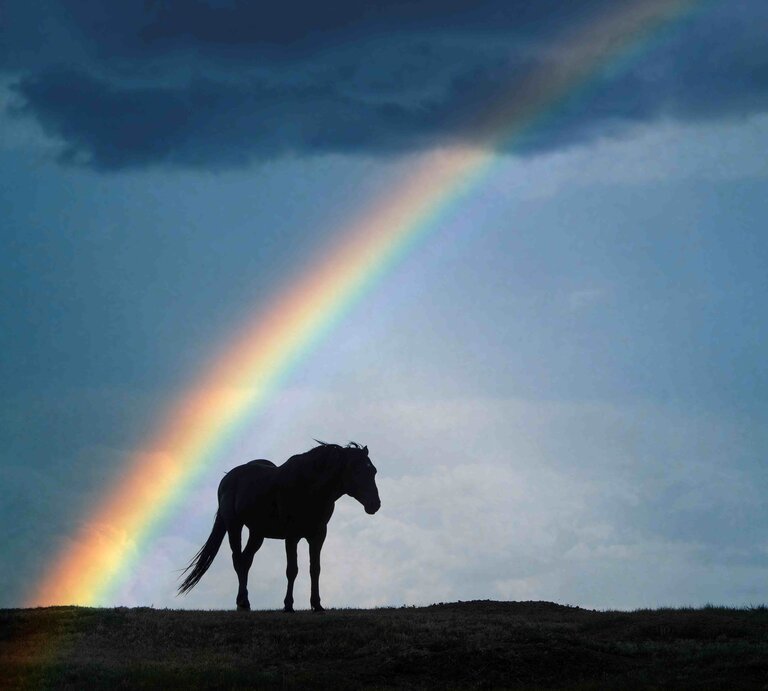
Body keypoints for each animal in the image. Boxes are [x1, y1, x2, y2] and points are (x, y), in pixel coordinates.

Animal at [177, 441, 380, 611]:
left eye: (373, 471)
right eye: (356, 470)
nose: (375, 504)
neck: (309, 487)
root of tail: (228, 478)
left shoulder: (318, 535)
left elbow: (315, 569)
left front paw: (317, 605)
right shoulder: (292, 536)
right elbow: (292, 570)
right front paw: (288, 605)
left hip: (257, 533)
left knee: (246, 560)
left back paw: (245, 602)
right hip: (234, 526)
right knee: (238, 559)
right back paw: (242, 601)